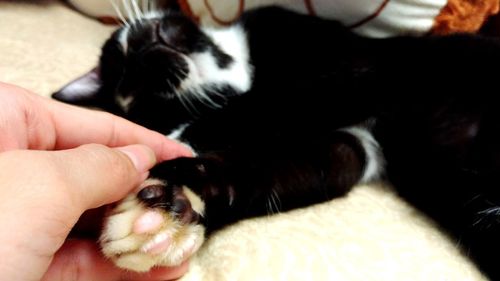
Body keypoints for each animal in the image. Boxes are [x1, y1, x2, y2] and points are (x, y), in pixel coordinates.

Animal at [54, 5, 500, 278]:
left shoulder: (355, 65)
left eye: (121, 64)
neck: (234, 65)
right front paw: (169, 208)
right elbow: (263, 170)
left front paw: (180, 142)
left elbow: (270, 100)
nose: (144, 57)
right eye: (130, 87)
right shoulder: (346, 147)